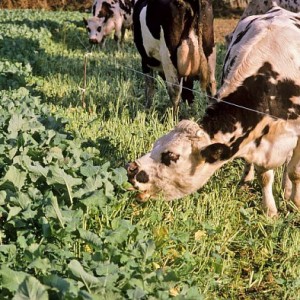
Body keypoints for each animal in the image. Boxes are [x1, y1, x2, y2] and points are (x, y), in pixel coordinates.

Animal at [127, 7, 300, 217]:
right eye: (155, 144)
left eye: (171, 156)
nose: (132, 169)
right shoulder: (259, 138)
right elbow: (264, 175)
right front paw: (270, 212)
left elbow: (294, 171)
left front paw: (295, 202)